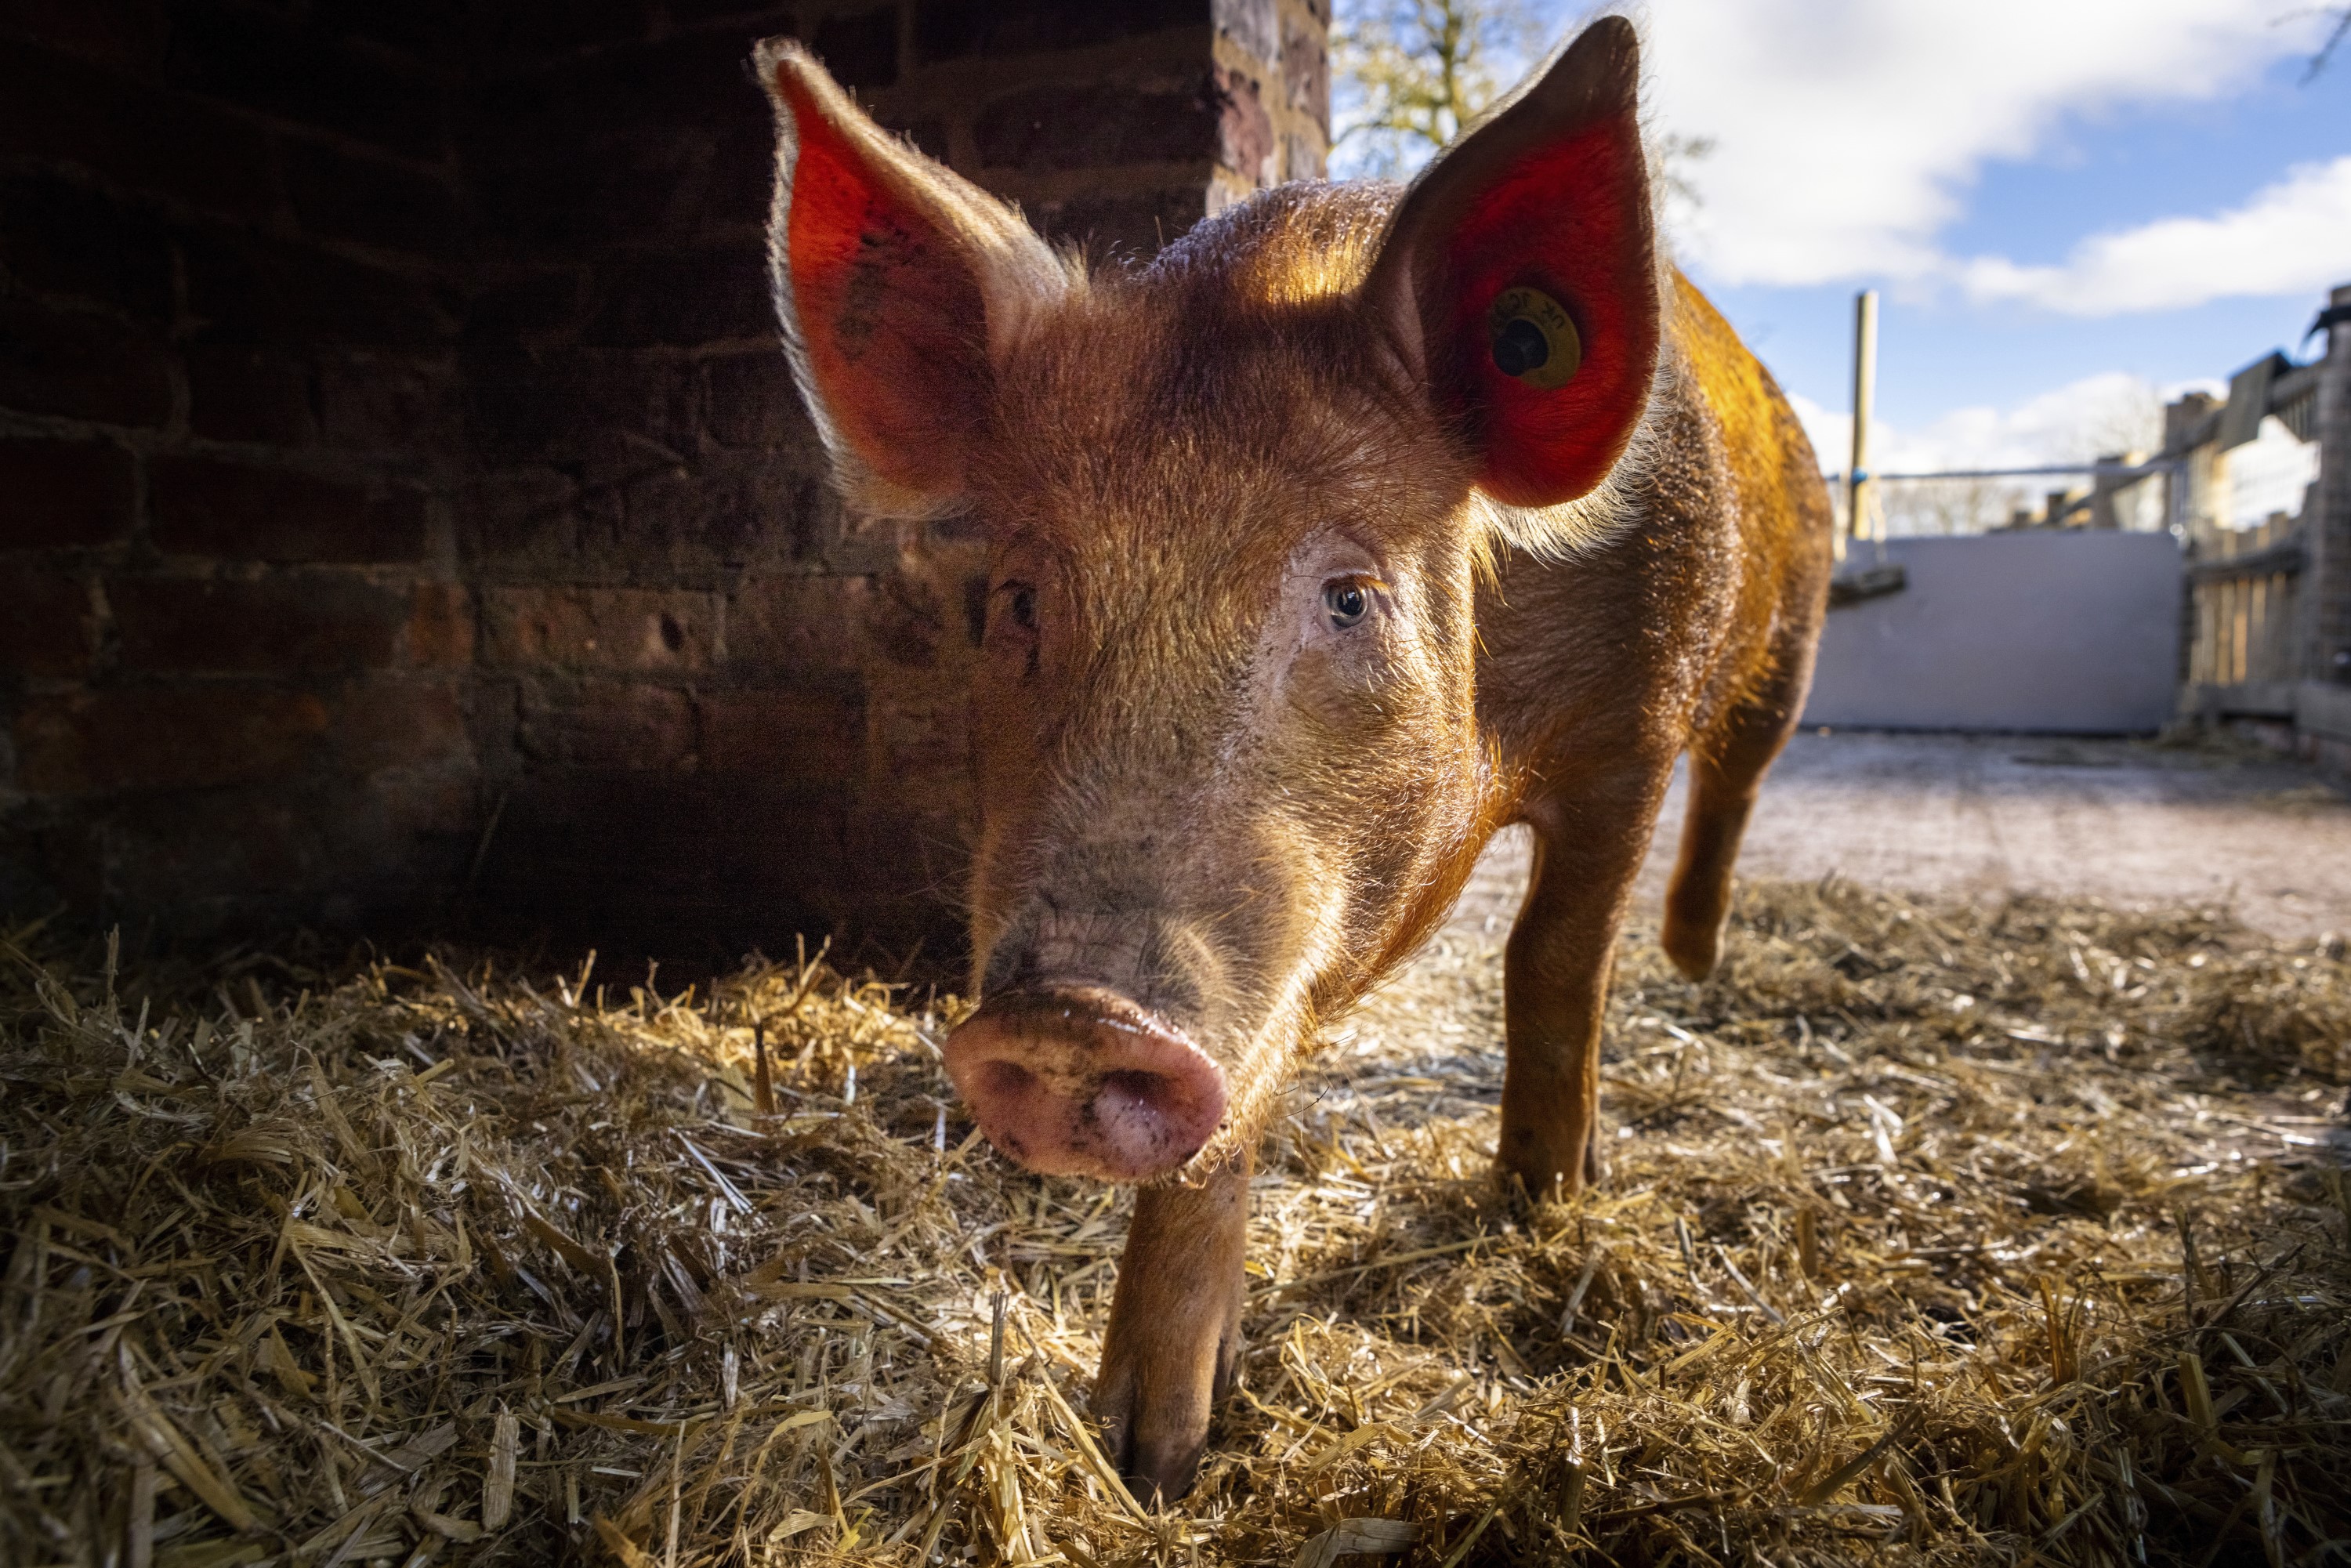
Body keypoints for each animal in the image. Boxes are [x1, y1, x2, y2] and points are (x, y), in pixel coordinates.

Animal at [756, 16, 1832, 1500]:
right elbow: (1246, 1085)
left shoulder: (1632, 732)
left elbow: (1553, 962)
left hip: (1791, 636)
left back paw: (1695, 960)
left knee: (1741, 785)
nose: (1070, 1019)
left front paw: (1546, 1199)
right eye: (1019, 597)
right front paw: (1151, 1457)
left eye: (1351, 597)